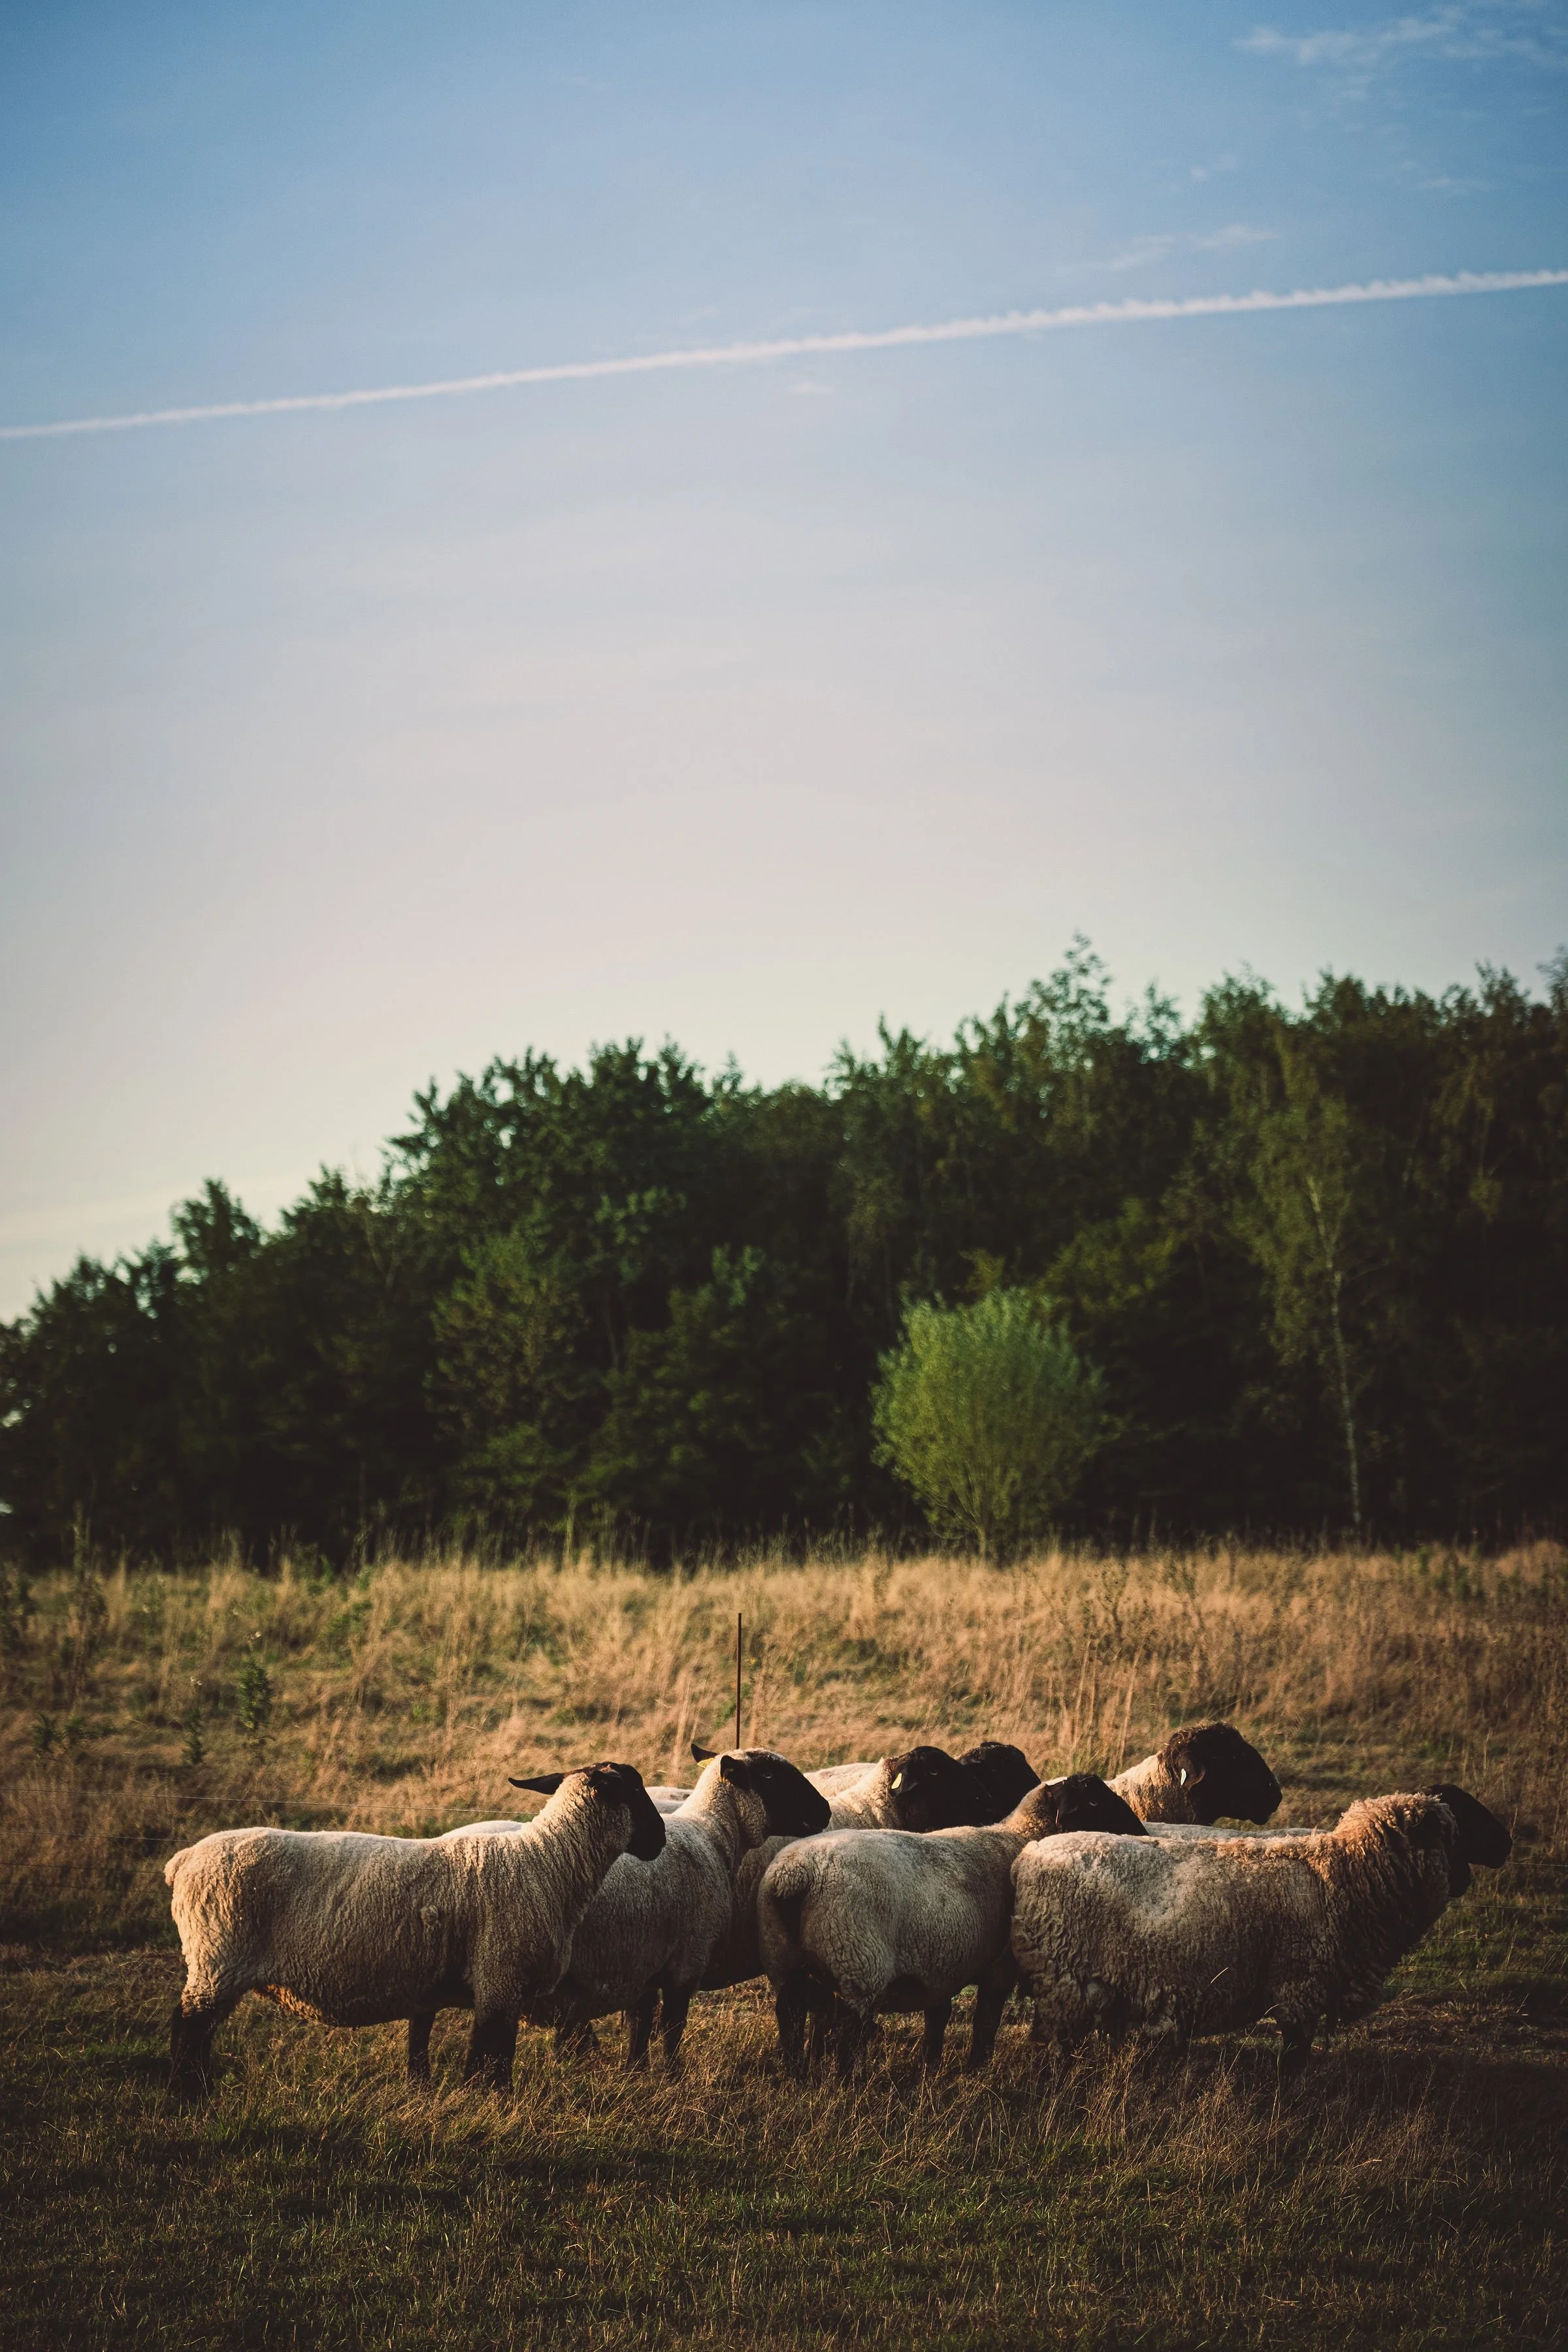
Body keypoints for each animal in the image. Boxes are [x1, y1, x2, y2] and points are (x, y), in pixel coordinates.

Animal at [164, 1761, 665, 2099]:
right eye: (635, 1792)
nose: (660, 1840)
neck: (548, 1863)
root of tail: (182, 1861)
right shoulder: (499, 1976)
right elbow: (491, 2058)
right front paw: (487, 2104)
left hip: (215, 1962)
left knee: (199, 2032)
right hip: (217, 1958)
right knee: (189, 2029)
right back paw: (189, 2097)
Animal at [758, 1774, 1146, 2080]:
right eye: (1094, 1801)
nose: (1142, 1833)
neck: (1019, 1837)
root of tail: (797, 1875)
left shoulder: (942, 1964)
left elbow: (939, 2017)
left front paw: (931, 2065)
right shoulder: (999, 1967)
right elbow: (986, 2021)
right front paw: (976, 2069)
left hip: (785, 1961)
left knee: (790, 2017)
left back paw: (796, 2077)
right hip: (857, 1962)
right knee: (849, 2031)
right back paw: (845, 2083)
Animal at [1010, 1781, 1511, 2073]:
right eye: (1456, 1828)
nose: (1506, 1846)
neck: (1344, 1874)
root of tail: (1028, 1857)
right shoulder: (1301, 1986)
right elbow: (1295, 2054)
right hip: (1065, 1976)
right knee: (1058, 2043)